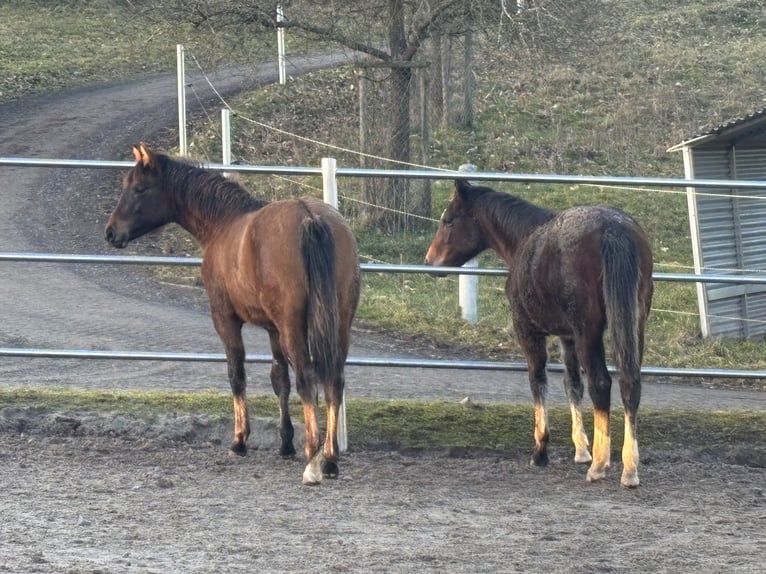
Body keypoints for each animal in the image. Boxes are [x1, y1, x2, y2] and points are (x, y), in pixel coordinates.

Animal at [105, 143, 361, 485]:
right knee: (335, 378)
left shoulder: (225, 319)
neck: (224, 224)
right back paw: (330, 459)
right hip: (339, 323)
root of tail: (310, 217)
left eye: (140, 188)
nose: (111, 232)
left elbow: (236, 373)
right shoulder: (273, 329)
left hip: (295, 328)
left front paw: (239, 440)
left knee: (308, 378)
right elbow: (279, 379)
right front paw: (285, 443)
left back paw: (313, 460)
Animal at [425, 179, 653, 487]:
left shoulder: (529, 331)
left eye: (448, 220)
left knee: (601, 383)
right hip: (633, 323)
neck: (524, 238)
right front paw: (581, 449)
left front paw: (541, 450)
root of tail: (613, 230)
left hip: (590, 331)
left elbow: (538, 380)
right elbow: (572, 384)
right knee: (630, 382)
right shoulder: (567, 337)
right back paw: (628, 468)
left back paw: (600, 465)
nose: (430, 261)